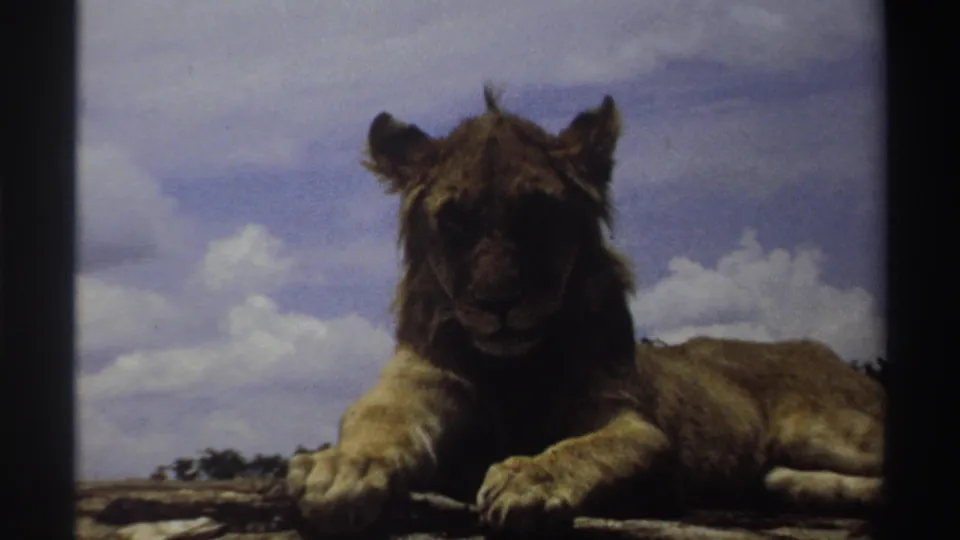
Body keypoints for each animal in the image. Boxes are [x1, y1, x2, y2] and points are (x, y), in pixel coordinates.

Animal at [286, 87, 885, 535]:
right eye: (455, 219)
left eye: (537, 212)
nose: (498, 304)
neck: (512, 368)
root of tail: (823, 351)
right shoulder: (415, 386)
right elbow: (376, 423)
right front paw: (340, 468)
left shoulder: (632, 422)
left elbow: (595, 448)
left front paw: (530, 479)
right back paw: (789, 484)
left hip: (829, 428)